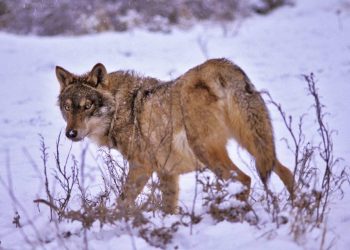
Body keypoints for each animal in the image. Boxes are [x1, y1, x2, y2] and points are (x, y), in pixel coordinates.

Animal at [55, 58, 296, 213]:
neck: (121, 108)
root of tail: (219, 66)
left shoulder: (142, 167)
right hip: (256, 145)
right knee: (286, 172)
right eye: (67, 108)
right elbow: (169, 208)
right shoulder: (167, 171)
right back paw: (296, 210)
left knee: (245, 180)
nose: (71, 133)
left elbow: (122, 203)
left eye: (87, 106)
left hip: (206, 152)